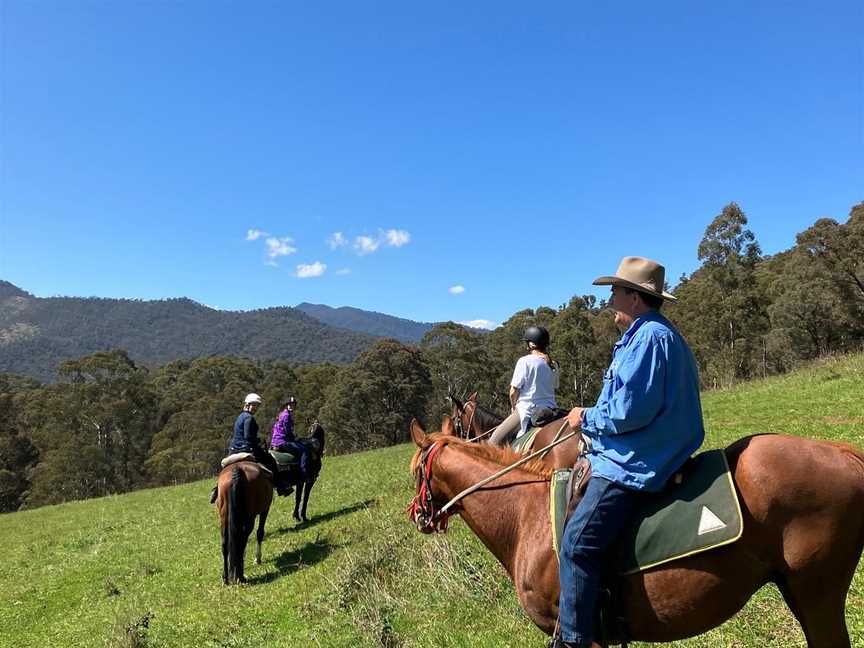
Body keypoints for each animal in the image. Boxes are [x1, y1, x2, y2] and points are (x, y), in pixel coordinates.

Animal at [408, 422, 864, 644]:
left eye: (414, 473)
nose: (417, 516)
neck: (526, 516)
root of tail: (843, 453)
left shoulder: (577, 631)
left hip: (817, 596)